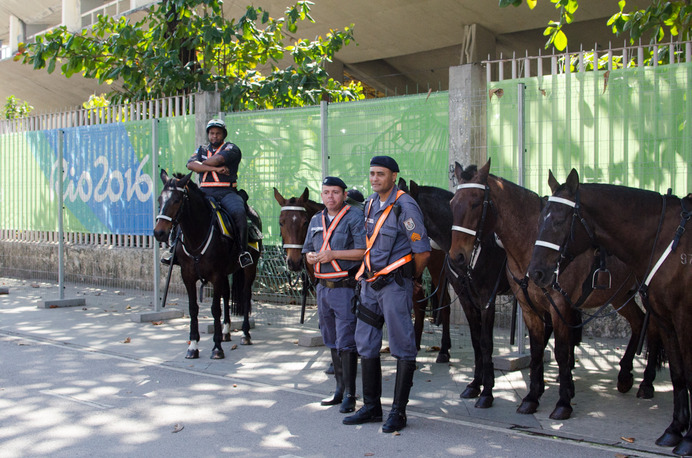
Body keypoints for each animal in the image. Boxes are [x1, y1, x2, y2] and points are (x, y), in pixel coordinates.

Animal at [154, 170, 262, 360]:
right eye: (160, 199)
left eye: (177, 200)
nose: (159, 233)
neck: (197, 235)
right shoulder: (188, 277)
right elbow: (193, 309)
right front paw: (193, 346)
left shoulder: (216, 276)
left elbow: (215, 309)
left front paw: (217, 348)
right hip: (227, 271)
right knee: (226, 295)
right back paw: (226, 331)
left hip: (250, 268)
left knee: (245, 294)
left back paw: (245, 334)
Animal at [406, 177, 508, 406]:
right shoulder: (466, 298)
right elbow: (476, 340)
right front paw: (475, 385)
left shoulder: (486, 299)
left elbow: (486, 343)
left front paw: (487, 392)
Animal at [448, 159, 664, 420]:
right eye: (452, 204)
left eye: (476, 203)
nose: (457, 257)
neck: (532, 243)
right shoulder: (527, 307)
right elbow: (534, 350)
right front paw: (531, 397)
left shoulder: (556, 305)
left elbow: (560, 351)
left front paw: (563, 402)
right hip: (621, 295)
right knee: (639, 322)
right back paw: (624, 376)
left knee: (653, 328)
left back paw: (647, 382)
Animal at [528, 168, 688, 454]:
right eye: (539, 220)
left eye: (559, 220)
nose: (535, 273)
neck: (667, 240)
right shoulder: (668, 319)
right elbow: (679, 372)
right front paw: (674, 431)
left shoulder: (683, 318)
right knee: (641, 324)